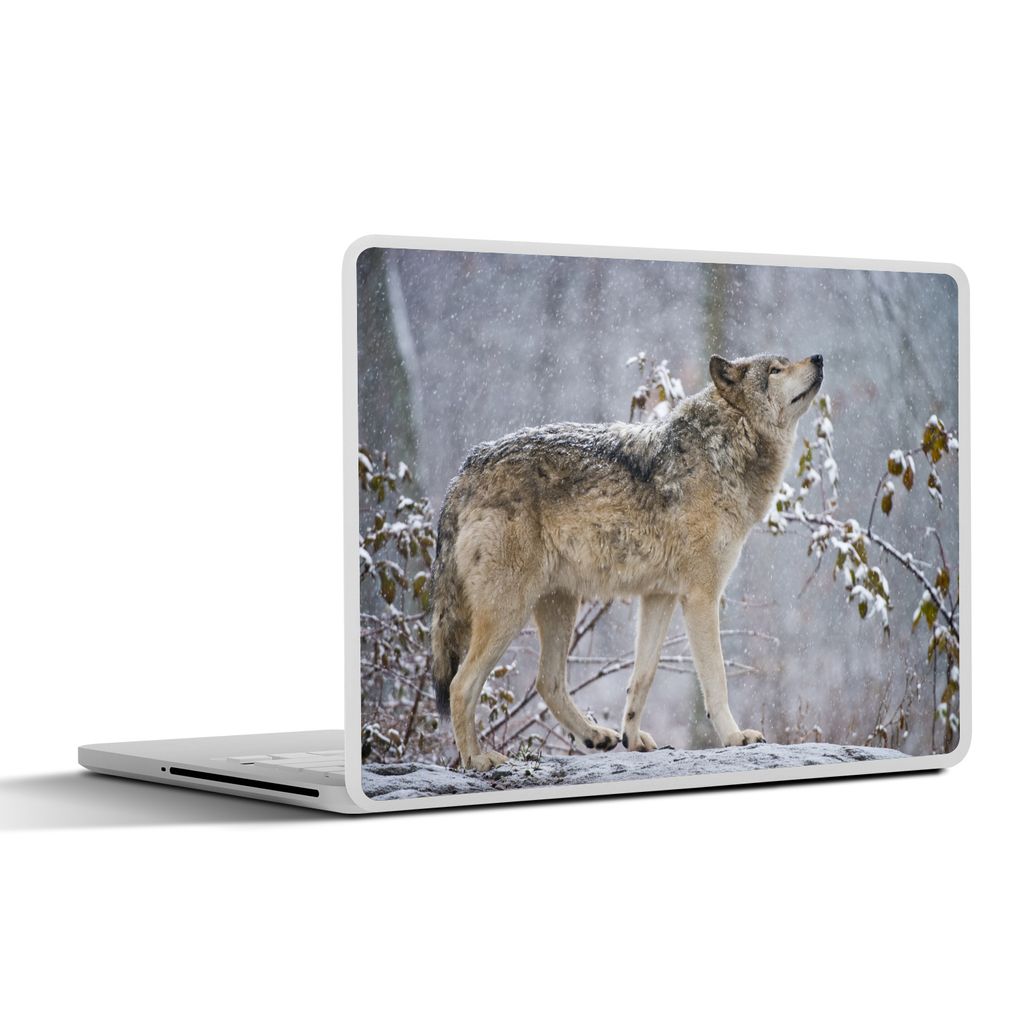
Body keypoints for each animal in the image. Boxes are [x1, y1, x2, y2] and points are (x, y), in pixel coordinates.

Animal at [431, 352, 824, 770]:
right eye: (776, 370)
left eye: (786, 362)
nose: (818, 357)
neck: (727, 446)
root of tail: (464, 471)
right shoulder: (701, 596)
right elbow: (715, 678)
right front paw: (735, 737)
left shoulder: (659, 596)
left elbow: (643, 677)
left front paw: (631, 739)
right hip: (509, 611)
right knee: (461, 685)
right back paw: (477, 759)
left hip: (559, 605)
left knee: (547, 682)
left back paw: (594, 735)